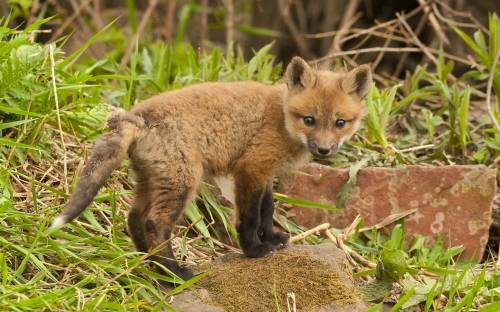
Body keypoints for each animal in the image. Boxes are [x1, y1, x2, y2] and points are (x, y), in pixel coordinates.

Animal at [53, 56, 372, 280]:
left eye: (340, 122)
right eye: (309, 120)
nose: (324, 150)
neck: (281, 118)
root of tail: (135, 116)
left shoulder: (265, 174)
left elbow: (267, 211)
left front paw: (271, 239)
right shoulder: (250, 168)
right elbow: (250, 218)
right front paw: (254, 250)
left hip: (152, 179)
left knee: (134, 218)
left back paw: (150, 266)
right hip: (184, 182)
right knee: (154, 223)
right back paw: (175, 274)